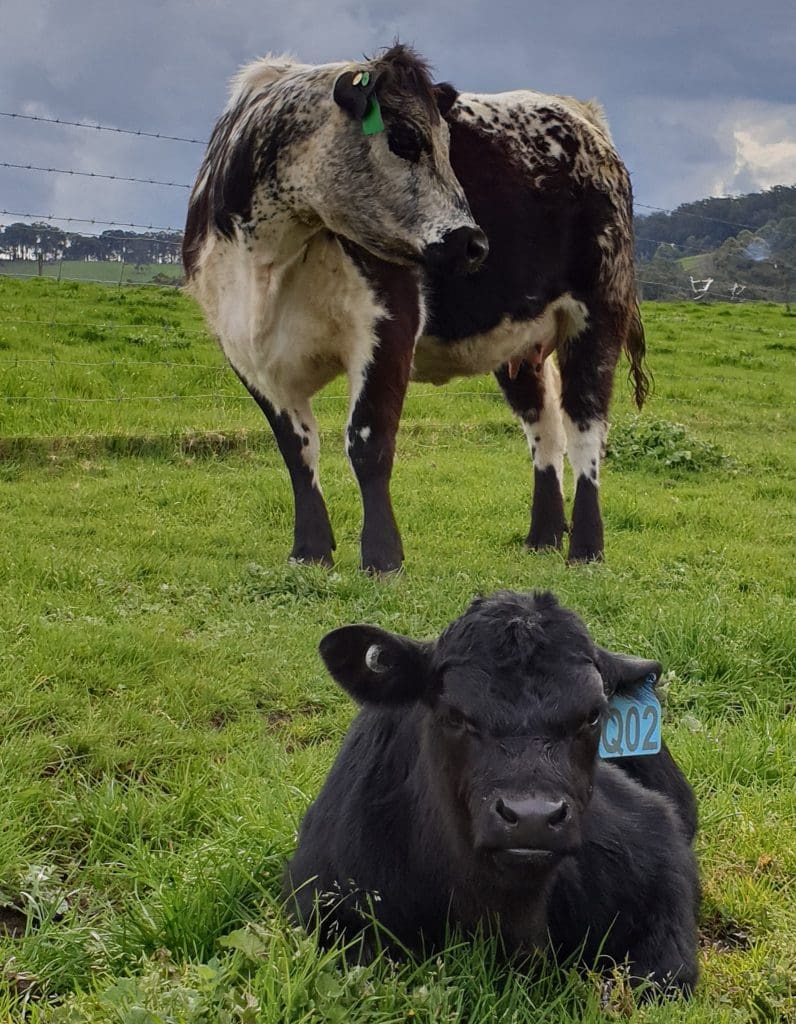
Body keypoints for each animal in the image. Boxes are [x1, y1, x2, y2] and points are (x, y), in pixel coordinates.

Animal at [183, 45, 648, 571]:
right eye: (405, 138)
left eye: (448, 143)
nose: (473, 243)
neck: (268, 258)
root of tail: (579, 114)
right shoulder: (246, 351)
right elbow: (296, 452)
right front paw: (310, 552)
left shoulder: (387, 327)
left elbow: (368, 442)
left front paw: (382, 557)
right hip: (520, 342)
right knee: (545, 429)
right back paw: (543, 536)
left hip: (598, 315)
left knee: (586, 428)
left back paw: (586, 548)